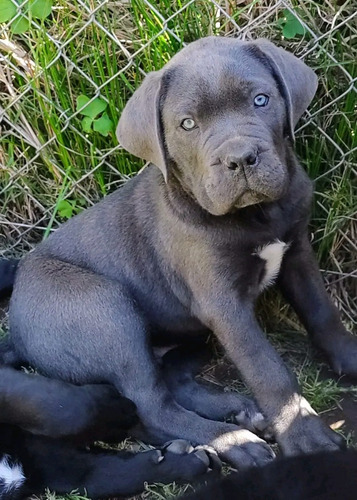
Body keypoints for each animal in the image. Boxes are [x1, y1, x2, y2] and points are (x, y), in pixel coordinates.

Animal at [6, 38, 356, 468]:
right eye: (187, 124)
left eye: (261, 100)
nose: (240, 159)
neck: (257, 215)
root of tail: (17, 332)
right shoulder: (223, 304)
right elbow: (267, 368)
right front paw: (307, 437)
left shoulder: (297, 252)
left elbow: (323, 313)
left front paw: (351, 359)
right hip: (102, 310)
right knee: (151, 406)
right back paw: (234, 441)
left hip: (182, 335)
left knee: (166, 386)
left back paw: (240, 412)